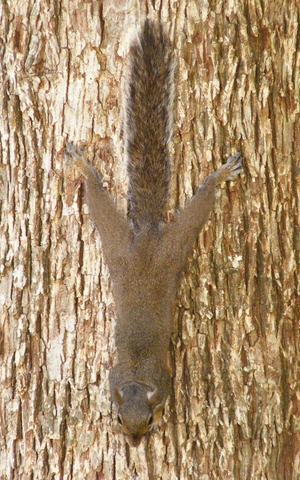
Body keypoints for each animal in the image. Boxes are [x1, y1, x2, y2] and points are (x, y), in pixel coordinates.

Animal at [64, 17, 243, 446]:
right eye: (117, 418)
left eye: (148, 420)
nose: (133, 443)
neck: (135, 378)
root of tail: (145, 239)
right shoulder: (115, 376)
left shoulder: (161, 378)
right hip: (126, 243)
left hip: (162, 242)